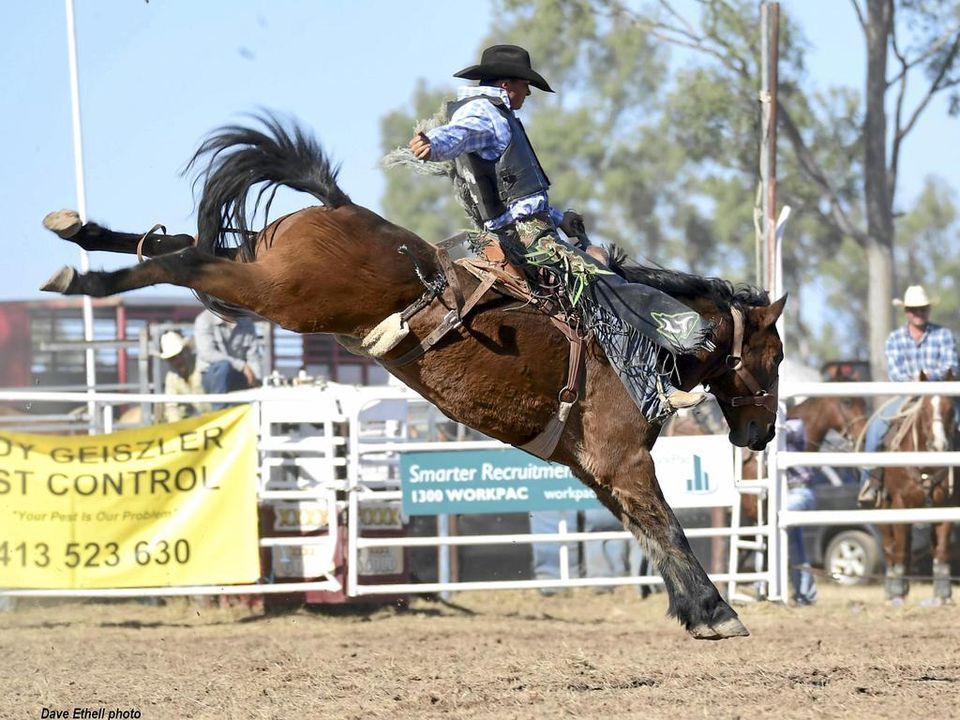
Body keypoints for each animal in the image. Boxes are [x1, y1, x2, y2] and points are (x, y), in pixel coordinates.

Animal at [39, 115, 788, 640]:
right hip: (275, 290)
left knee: (183, 244)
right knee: (184, 260)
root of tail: (342, 207)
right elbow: (669, 530)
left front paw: (697, 612)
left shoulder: (598, 472)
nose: (761, 435)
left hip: (260, 264)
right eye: (776, 358)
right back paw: (84, 274)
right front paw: (719, 611)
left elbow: (650, 536)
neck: (642, 334)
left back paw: (80, 236)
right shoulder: (623, 460)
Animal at [872, 380, 956, 604]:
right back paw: (892, 588)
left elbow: (942, 549)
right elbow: (899, 548)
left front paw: (943, 594)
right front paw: (897, 591)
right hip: (882, 508)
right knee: (891, 546)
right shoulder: (899, 504)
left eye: (951, 408)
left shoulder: (947, 505)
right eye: (925, 409)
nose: (939, 445)